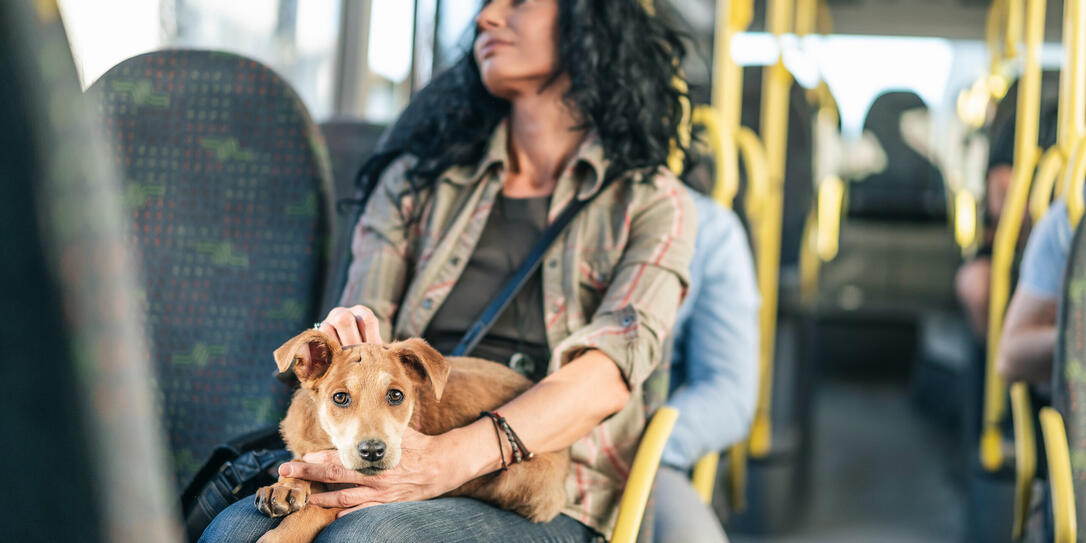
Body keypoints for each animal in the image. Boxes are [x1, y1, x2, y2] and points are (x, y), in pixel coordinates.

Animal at [251, 330, 569, 543]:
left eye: (396, 395)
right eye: (340, 397)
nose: (373, 451)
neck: (326, 441)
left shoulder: (363, 492)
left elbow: (318, 508)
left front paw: (283, 534)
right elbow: (300, 464)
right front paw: (287, 486)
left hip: (521, 481)